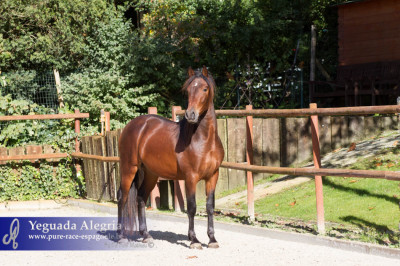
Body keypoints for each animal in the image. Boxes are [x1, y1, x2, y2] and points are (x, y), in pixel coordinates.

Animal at [118, 65, 225, 248]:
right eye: (188, 90)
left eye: (205, 89)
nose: (190, 114)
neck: (204, 140)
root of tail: (132, 125)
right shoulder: (190, 177)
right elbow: (192, 207)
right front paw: (194, 240)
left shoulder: (213, 176)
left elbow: (210, 207)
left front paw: (212, 239)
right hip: (128, 169)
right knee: (122, 198)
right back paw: (121, 236)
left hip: (151, 174)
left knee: (140, 198)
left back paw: (146, 235)